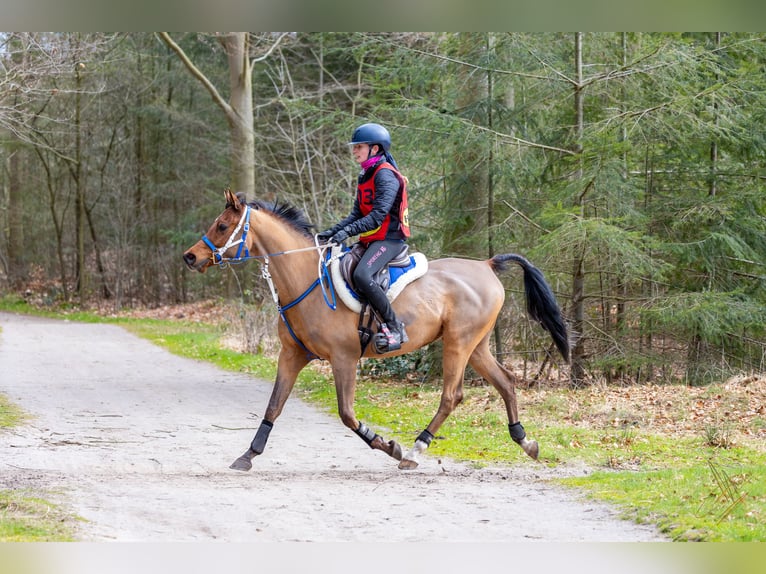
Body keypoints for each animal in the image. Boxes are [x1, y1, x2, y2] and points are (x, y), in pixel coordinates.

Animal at [183, 189, 569, 471]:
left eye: (222, 226)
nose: (190, 257)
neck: (305, 280)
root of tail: (487, 265)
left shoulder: (344, 358)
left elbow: (347, 414)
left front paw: (389, 446)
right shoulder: (291, 355)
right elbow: (273, 406)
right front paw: (248, 455)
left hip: (459, 342)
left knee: (452, 395)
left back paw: (414, 450)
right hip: (476, 345)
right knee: (506, 381)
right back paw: (526, 441)